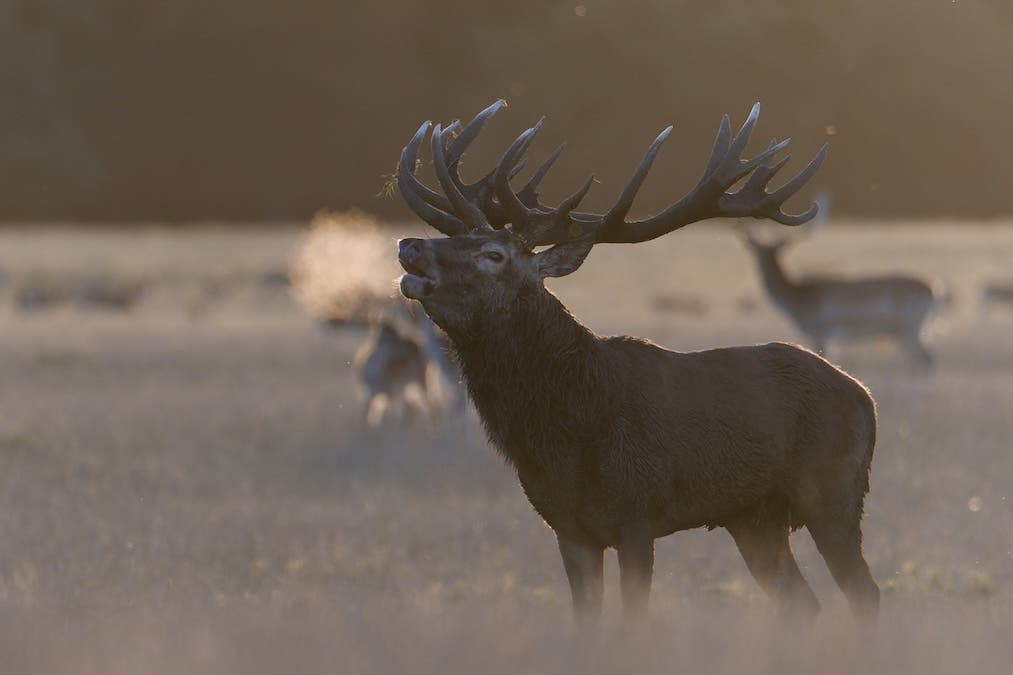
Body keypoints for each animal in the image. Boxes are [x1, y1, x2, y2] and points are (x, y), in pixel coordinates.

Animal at [393, 100, 880, 625]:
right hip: (753, 517)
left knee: (864, 593)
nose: (410, 245)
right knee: (802, 602)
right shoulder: (567, 528)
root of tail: (865, 396)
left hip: (833, 490)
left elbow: (632, 623)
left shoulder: (638, 513)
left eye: (493, 254)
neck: (565, 438)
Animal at [737, 219, 938, 368]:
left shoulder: (820, 332)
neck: (797, 298)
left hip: (909, 328)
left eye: (765, 252)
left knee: (927, 359)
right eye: (758, 251)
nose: (760, 267)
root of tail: (934, 288)